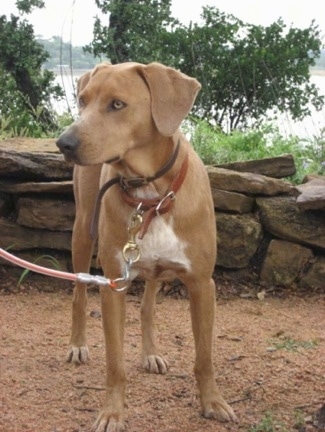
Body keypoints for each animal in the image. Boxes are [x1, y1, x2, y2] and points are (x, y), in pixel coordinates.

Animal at [55, 61, 233, 432]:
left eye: (117, 104)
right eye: (82, 100)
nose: (63, 143)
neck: (151, 195)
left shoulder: (202, 284)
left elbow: (205, 356)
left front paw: (212, 402)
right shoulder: (113, 285)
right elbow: (115, 363)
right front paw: (112, 412)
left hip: (156, 269)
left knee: (148, 306)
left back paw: (150, 352)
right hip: (82, 233)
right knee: (79, 295)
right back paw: (77, 345)